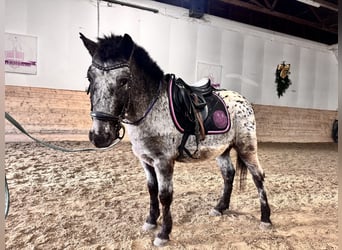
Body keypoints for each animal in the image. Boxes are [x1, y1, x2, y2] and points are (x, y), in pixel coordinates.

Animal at [80, 31, 272, 246]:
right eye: (89, 77)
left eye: (123, 80)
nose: (100, 136)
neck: (153, 107)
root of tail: (243, 100)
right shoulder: (146, 161)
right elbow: (152, 190)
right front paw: (150, 221)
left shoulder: (164, 161)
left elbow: (165, 195)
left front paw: (163, 233)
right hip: (222, 150)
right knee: (228, 174)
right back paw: (220, 208)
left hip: (247, 147)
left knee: (258, 176)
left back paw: (265, 218)